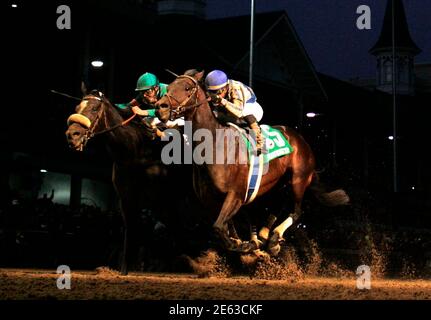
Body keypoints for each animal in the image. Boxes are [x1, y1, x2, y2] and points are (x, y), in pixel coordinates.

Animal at [65, 90, 165, 276]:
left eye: (95, 108)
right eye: (76, 107)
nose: (72, 135)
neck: (135, 149)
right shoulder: (126, 198)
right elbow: (130, 228)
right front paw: (124, 269)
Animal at [156, 72, 352, 255]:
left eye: (187, 88)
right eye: (169, 86)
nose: (160, 107)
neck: (213, 144)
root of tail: (300, 138)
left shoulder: (236, 194)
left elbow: (219, 228)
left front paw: (242, 245)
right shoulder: (211, 201)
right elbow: (224, 227)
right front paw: (244, 242)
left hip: (299, 179)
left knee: (296, 211)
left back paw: (273, 239)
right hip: (277, 184)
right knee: (276, 207)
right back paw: (265, 237)